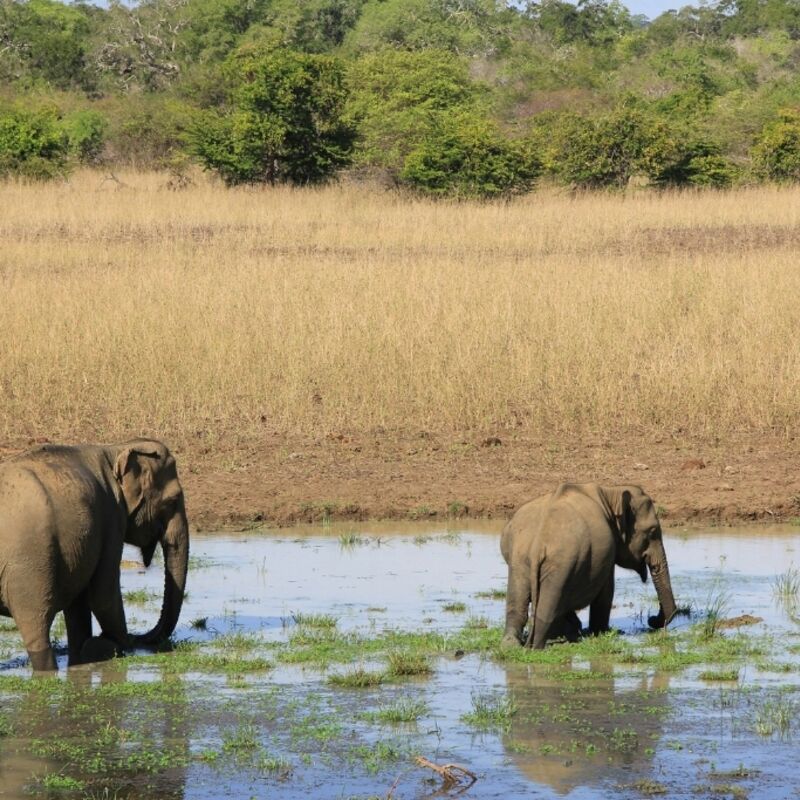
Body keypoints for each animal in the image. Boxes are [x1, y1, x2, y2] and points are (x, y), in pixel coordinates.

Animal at [0, 440, 189, 672]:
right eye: (173, 500)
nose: (136, 637)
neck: (115, 450)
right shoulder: (112, 517)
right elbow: (104, 594)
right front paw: (114, 645)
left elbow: (79, 603)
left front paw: (84, 656)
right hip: (28, 565)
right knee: (36, 625)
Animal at [504, 482, 680, 648]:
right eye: (652, 531)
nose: (652, 620)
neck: (611, 493)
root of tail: (537, 546)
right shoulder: (607, 554)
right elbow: (606, 593)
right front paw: (600, 632)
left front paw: (576, 630)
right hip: (559, 564)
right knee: (547, 607)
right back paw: (536, 647)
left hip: (519, 560)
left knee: (518, 604)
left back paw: (513, 645)